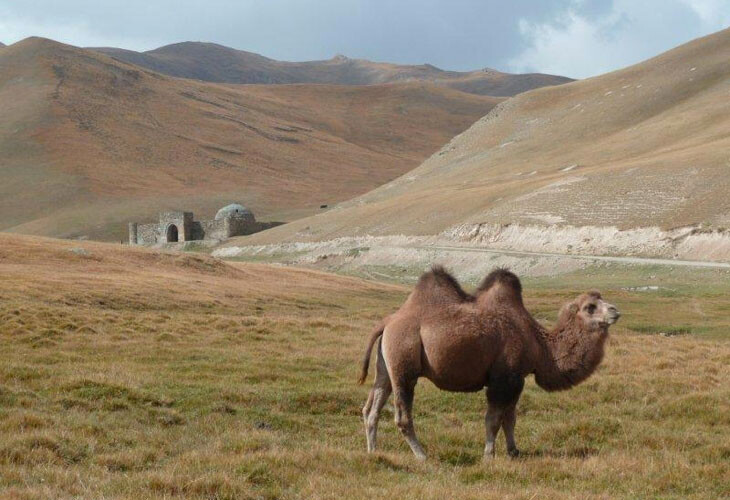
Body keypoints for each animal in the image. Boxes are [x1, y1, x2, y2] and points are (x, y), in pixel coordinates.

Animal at [356, 266, 616, 460]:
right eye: (590, 307)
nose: (614, 310)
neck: (538, 342)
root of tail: (388, 322)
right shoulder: (503, 378)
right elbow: (493, 419)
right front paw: (489, 455)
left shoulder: (517, 379)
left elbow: (511, 418)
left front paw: (514, 451)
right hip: (403, 362)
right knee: (402, 415)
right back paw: (422, 455)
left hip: (386, 366)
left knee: (372, 407)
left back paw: (373, 451)